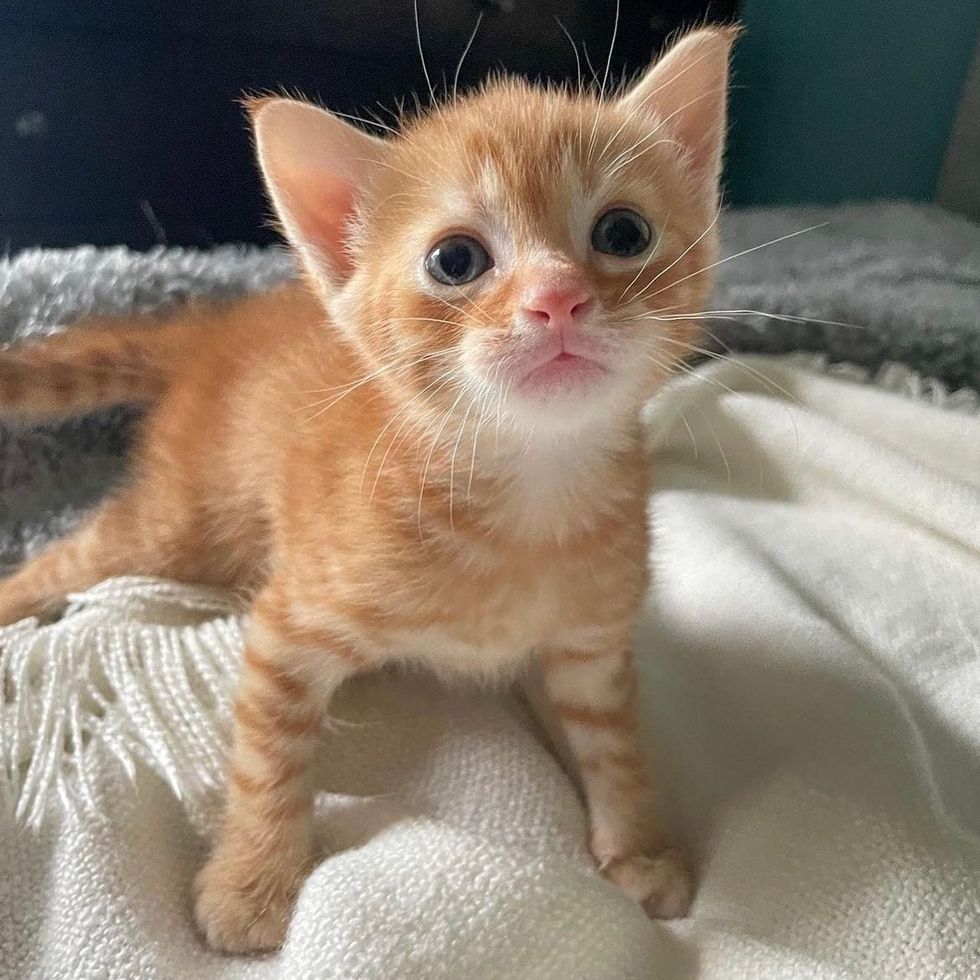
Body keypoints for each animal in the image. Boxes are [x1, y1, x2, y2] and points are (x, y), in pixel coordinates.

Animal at [0, 28, 736, 948]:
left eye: (623, 232)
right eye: (456, 260)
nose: (557, 299)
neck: (529, 496)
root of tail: (214, 332)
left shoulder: (591, 646)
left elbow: (617, 747)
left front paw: (638, 849)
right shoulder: (287, 623)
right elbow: (269, 763)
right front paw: (250, 884)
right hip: (176, 528)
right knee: (70, 557)